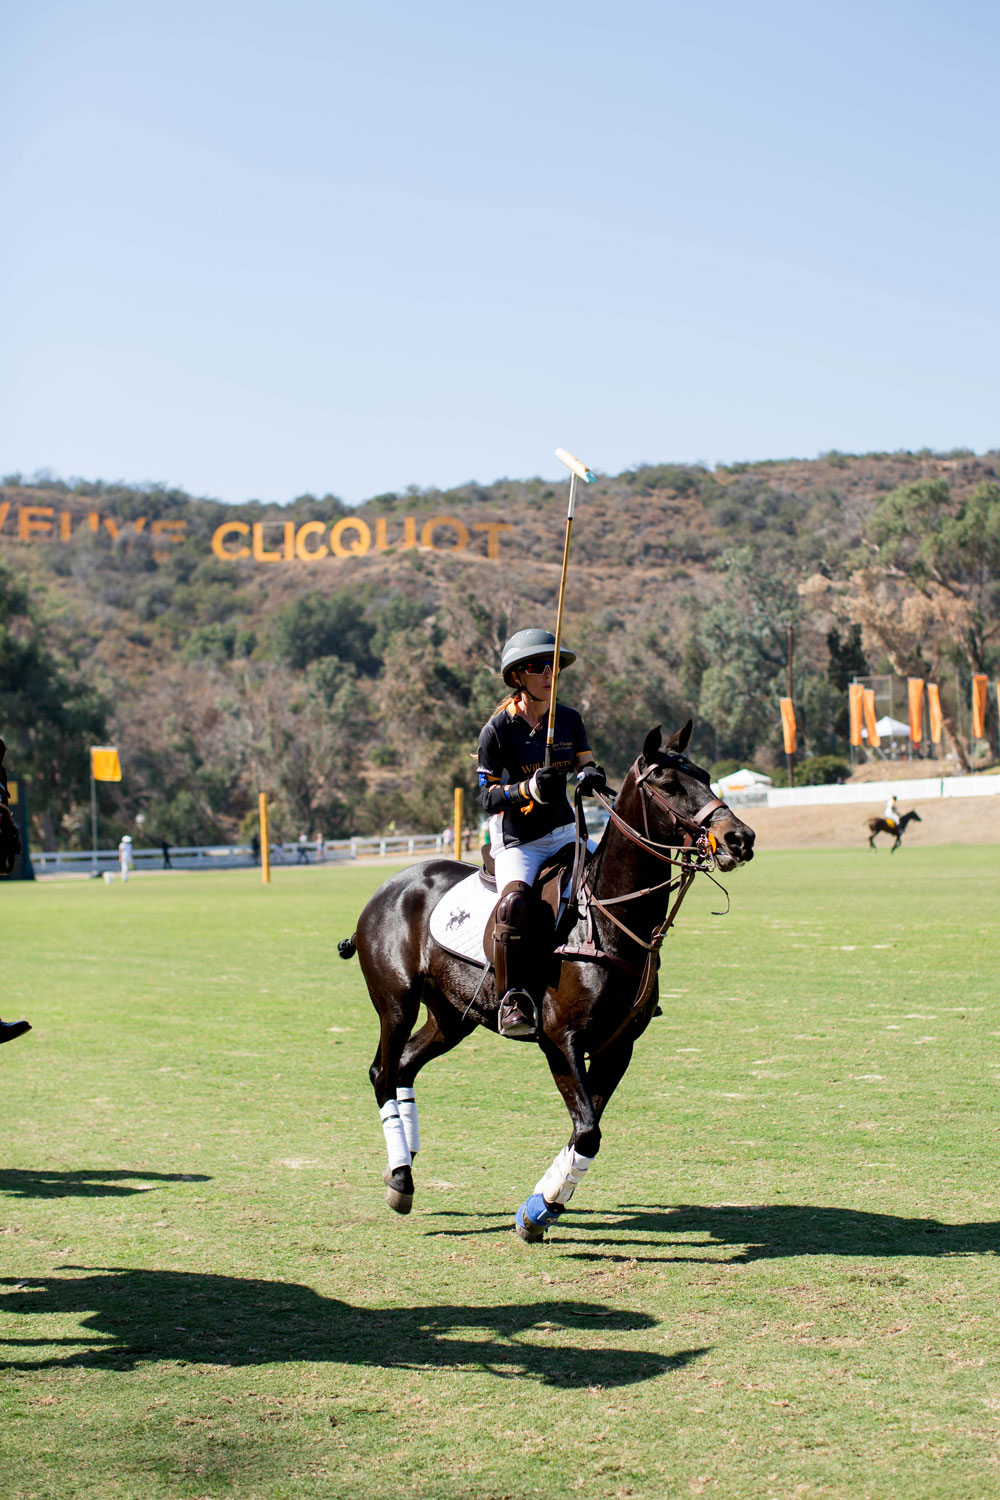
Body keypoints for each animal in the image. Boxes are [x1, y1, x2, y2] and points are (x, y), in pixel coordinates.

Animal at [340, 720, 755, 1236]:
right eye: (666, 783)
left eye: (706, 775)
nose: (740, 837)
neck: (608, 921)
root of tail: (385, 888)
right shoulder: (560, 1039)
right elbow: (589, 1131)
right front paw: (540, 1209)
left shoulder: (618, 1045)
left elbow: (584, 1129)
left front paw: (541, 1206)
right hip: (396, 1000)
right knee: (382, 1070)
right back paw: (400, 1177)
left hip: (453, 1015)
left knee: (404, 1067)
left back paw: (406, 1162)